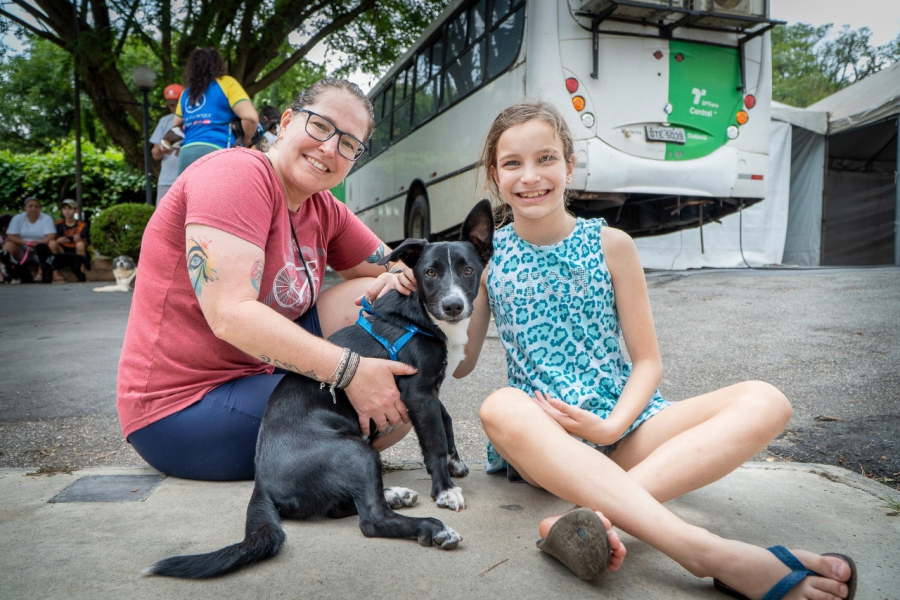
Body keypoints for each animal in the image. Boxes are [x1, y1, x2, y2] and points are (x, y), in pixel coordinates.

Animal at [149, 200, 500, 576]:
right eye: (430, 273)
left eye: (468, 270)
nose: (453, 306)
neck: (420, 316)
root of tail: (262, 484)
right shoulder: (418, 393)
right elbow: (432, 440)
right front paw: (446, 490)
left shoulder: (428, 388)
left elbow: (445, 420)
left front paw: (454, 460)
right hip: (356, 451)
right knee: (371, 520)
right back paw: (432, 528)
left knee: (343, 507)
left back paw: (394, 494)